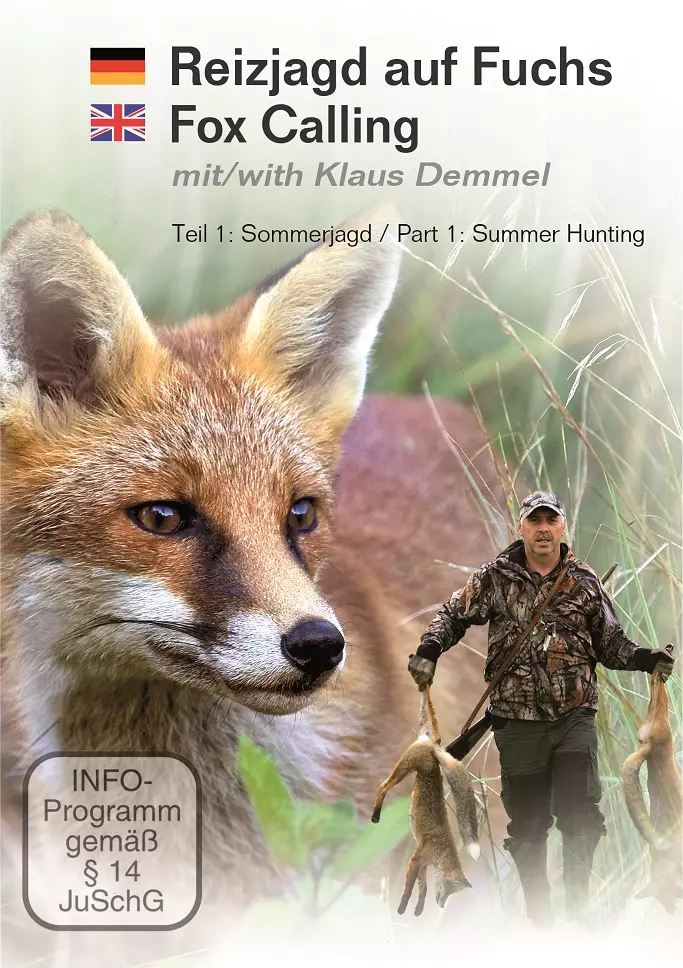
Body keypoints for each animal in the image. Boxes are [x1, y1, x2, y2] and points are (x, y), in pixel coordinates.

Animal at [371, 684, 480, 915]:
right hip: (405, 766)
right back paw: (375, 814)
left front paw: (418, 910)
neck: (443, 852)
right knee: (383, 785)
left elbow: (423, 888)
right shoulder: (417, 859)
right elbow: (408, 889)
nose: (441, 905)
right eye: (449, 891)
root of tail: (434, 744)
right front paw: (401, 908)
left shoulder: (423, 864)